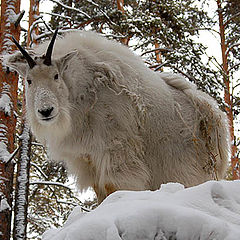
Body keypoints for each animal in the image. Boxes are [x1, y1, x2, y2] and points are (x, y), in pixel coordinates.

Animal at [3, 29, 229, 202]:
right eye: (29, 80)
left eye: (56, 76)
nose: (46, 111)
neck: (81, 95)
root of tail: (210, 111)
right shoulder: (88, 158)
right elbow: (100, 191)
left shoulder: (115, 149)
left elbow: (113, 186)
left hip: (188, 165)